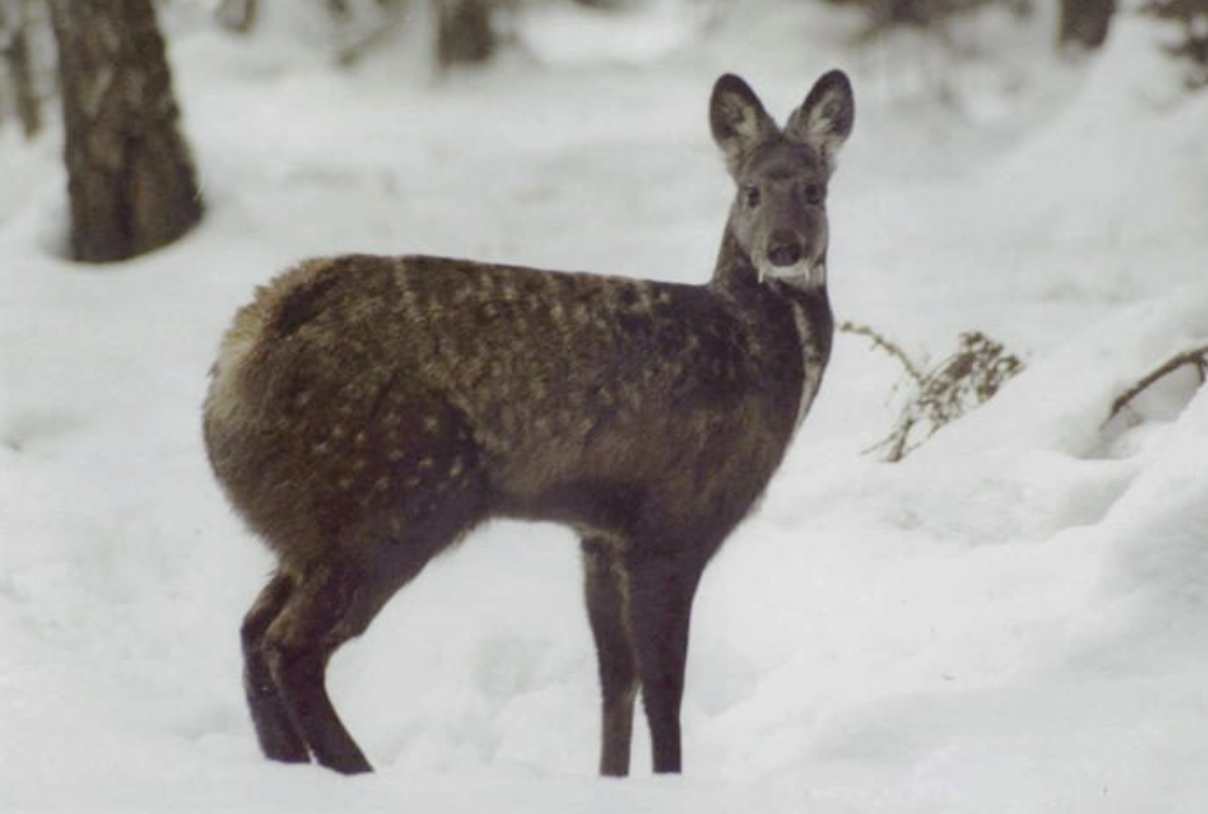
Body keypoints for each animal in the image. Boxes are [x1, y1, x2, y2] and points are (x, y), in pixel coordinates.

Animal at [202, 69, 855, 772]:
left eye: (815, 190)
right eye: (750, 191)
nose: (784, 249)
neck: (750, 350)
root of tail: (236, 362)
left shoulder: (600, 534)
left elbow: (616, 679)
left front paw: (611, 779)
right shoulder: (674, 518)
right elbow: (663, 687)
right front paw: (668, 780)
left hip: (312, 525)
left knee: (252, 629)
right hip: (390, 497)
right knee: (289, 645)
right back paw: (360, 773)